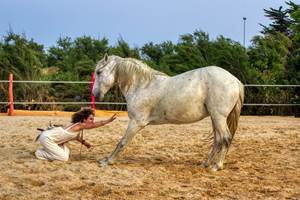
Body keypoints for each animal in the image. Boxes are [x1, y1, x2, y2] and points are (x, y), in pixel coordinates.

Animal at [93, 54, 244, 171]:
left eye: (99, 72)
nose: (95, 94)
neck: (142, 86)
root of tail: (235, 80)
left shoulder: (136, 122)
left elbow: (122, 142)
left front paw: (107, 161)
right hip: (215, 118)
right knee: (218, 140)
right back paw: (206, 163)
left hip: (219, 117)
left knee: (225, 138)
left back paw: (217, 166)